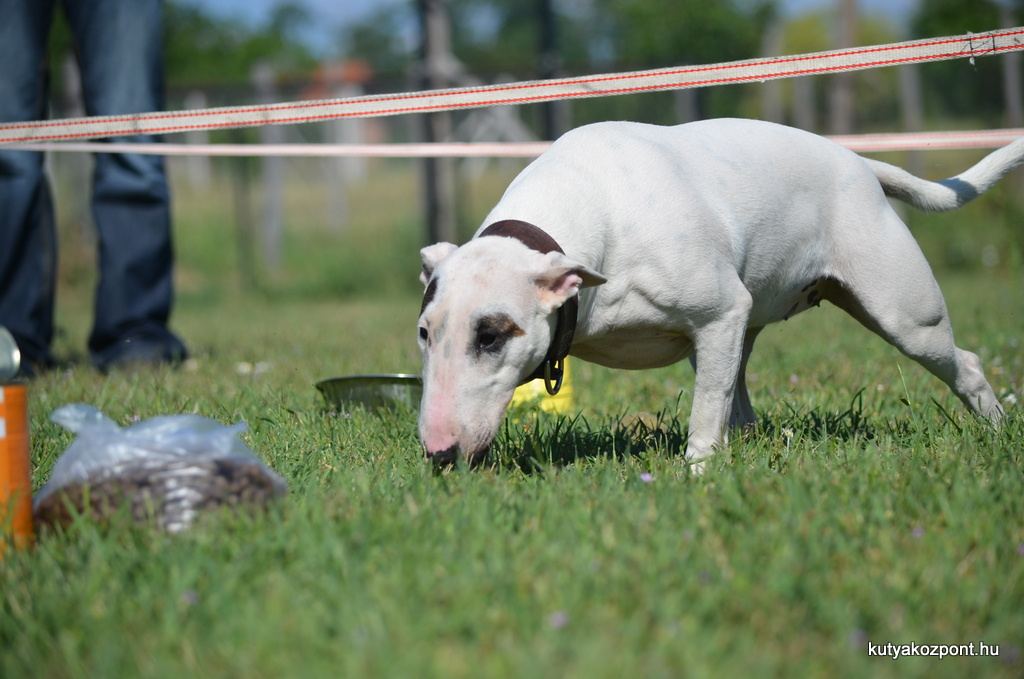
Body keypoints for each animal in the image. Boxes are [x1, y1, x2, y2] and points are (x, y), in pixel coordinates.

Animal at [413, 118, 1015, 467]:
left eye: (491, 336)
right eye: (424, 334)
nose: (440, 454)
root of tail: (859, 162)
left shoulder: (720, 312)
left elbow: (705, 414)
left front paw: (697, 475)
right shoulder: (721, 327)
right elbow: (717, 402)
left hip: (905, 316)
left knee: (964, 363)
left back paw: (998, 430)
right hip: (739, 336)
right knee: (739, 400)